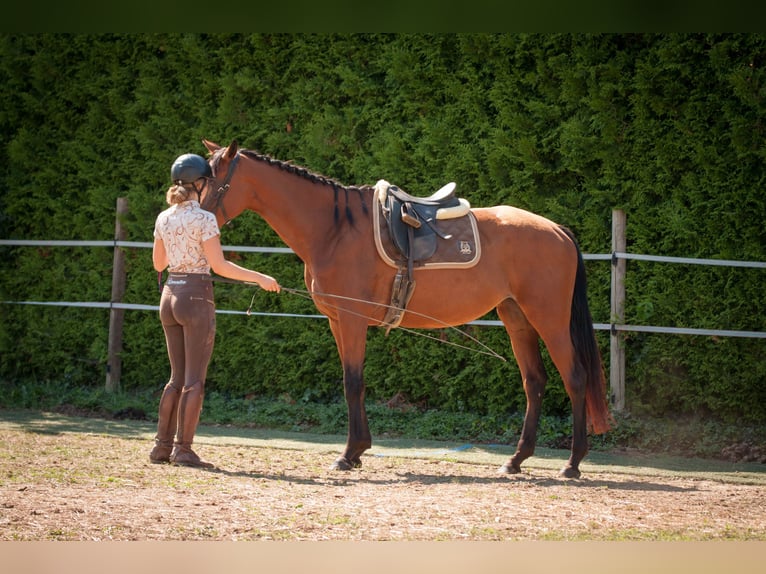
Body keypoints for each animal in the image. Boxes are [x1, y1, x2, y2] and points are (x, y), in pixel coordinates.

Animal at [200, 139, 612, 479]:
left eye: (217, 183)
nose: (198, 217)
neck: (334, 230)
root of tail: (557, 230)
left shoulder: (351, 320)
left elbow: (353, 382)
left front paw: (349, 453)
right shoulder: (336, 321)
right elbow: (353, 382)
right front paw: (358, 450)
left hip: (550, 319)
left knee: (575, 377)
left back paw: (573, 463)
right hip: (517, 318)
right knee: (534, 381)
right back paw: (516, 460)